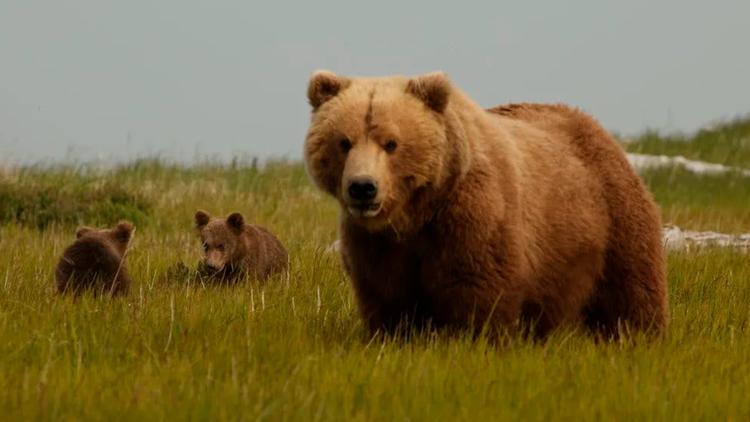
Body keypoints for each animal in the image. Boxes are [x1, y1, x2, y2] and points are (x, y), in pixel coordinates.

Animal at [306, 70, 668, 340]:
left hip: (611, 219)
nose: (363, 188)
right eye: (344, 142)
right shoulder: (376, 244)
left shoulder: (471, 218)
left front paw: (470, 340)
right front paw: (395, 337)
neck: (415, 214)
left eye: (391, 143)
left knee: (630, 292)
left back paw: (638, 336)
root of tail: (596, 127)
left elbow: (477, 291)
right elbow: (388, 298)